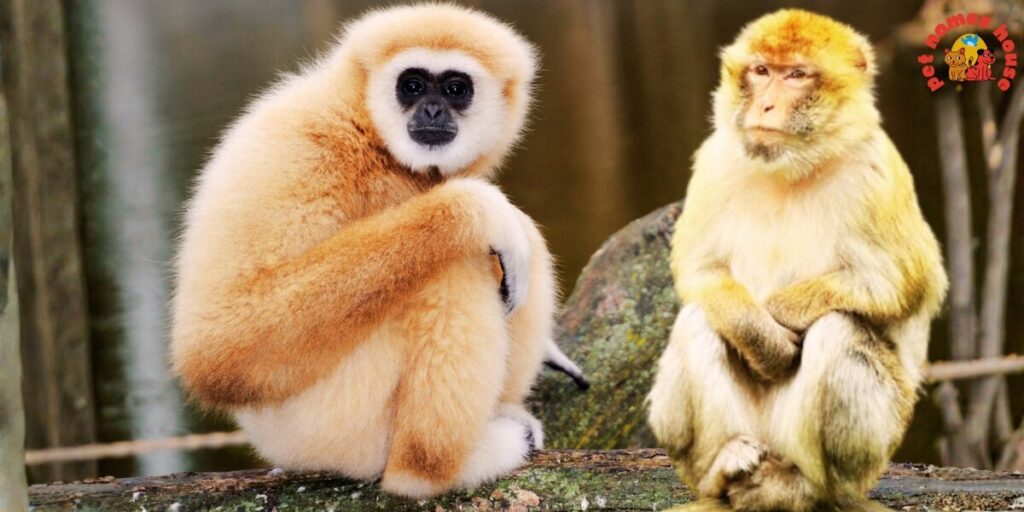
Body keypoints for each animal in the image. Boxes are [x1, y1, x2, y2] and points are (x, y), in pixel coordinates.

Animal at [170, 4, 586, 499]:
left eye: (455, 88)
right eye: (412, 85)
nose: (431, 108)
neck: (370, 134)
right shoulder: (297, 147)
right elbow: (220, 346)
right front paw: (475, 208)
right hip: (335, 424)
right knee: (459, 265)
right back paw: (433, 471)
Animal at [646, 10, 947, 512]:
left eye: (796, 75)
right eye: (761, 71)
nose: (766, 105)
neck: (790, 166)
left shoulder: (876, 171)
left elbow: (902, 283)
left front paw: (780, 315)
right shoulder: (715, 159)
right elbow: (701, 270)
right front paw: (762, 335)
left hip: (871, 449)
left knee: (838, 327)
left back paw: (807, 486)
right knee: (702, 317)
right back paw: (724, 467)